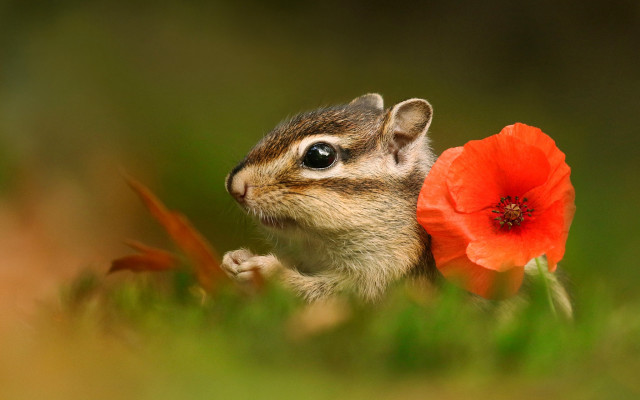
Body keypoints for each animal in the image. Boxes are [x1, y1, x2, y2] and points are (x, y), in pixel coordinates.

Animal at [221, 94, 572, 316]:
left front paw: (266, 270)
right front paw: (234, 258)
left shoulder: (385, 275)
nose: (234, 185)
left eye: (319, 155)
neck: (320, 245)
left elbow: (336, 294)